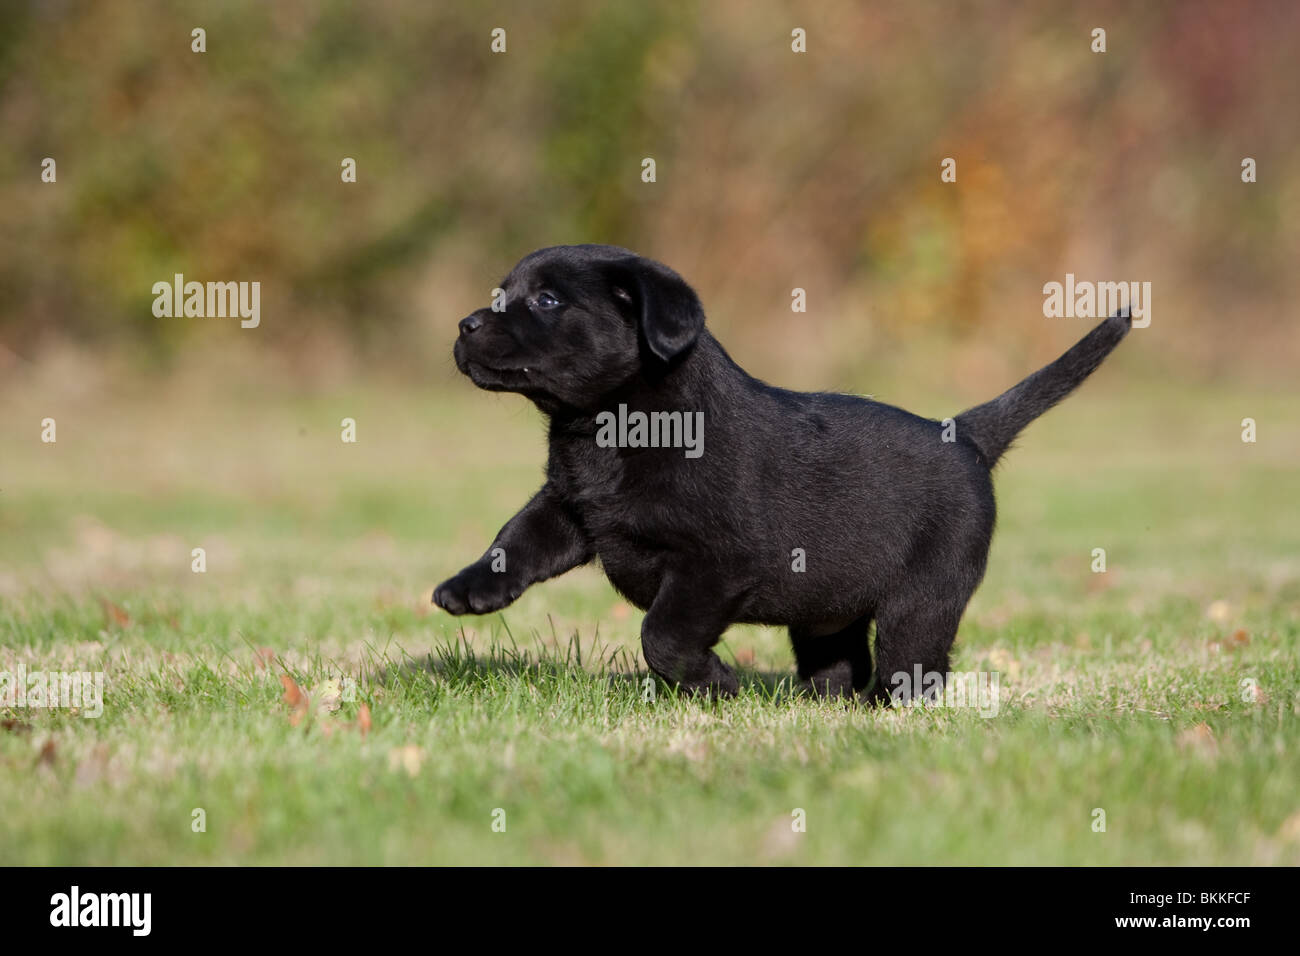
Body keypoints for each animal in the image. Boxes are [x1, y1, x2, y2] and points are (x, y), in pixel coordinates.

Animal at [434, 243, 1128, 697]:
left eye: (547, 300)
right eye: (500, 296)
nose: (464, 324)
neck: (609, 428)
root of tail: (965, 435)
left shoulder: (718, 563)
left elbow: (663, 633)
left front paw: (716, 682)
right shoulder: (572, 506)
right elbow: (517, 538)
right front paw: (470, 587)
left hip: (925, 599)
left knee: (912, 664)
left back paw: (886, 712)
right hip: (826, 613)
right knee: (839, 664)